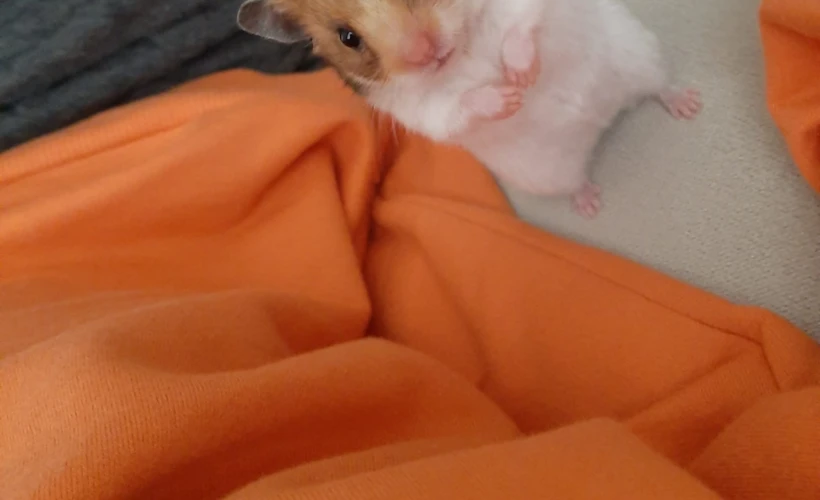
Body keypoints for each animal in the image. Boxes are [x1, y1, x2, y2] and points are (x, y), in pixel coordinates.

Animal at [237, 0, 701, 218]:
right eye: (347, 37)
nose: (425, 54)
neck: (459, 50)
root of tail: (600, 124)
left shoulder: (521, 8)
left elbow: (519, 25)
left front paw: (521, 76)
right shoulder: (417, 108)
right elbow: (455, 107)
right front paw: (509, 97)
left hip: (639, 52)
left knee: (660, 86)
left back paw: (690, 106)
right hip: (548, 175)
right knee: (575, 181)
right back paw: (589, 204)